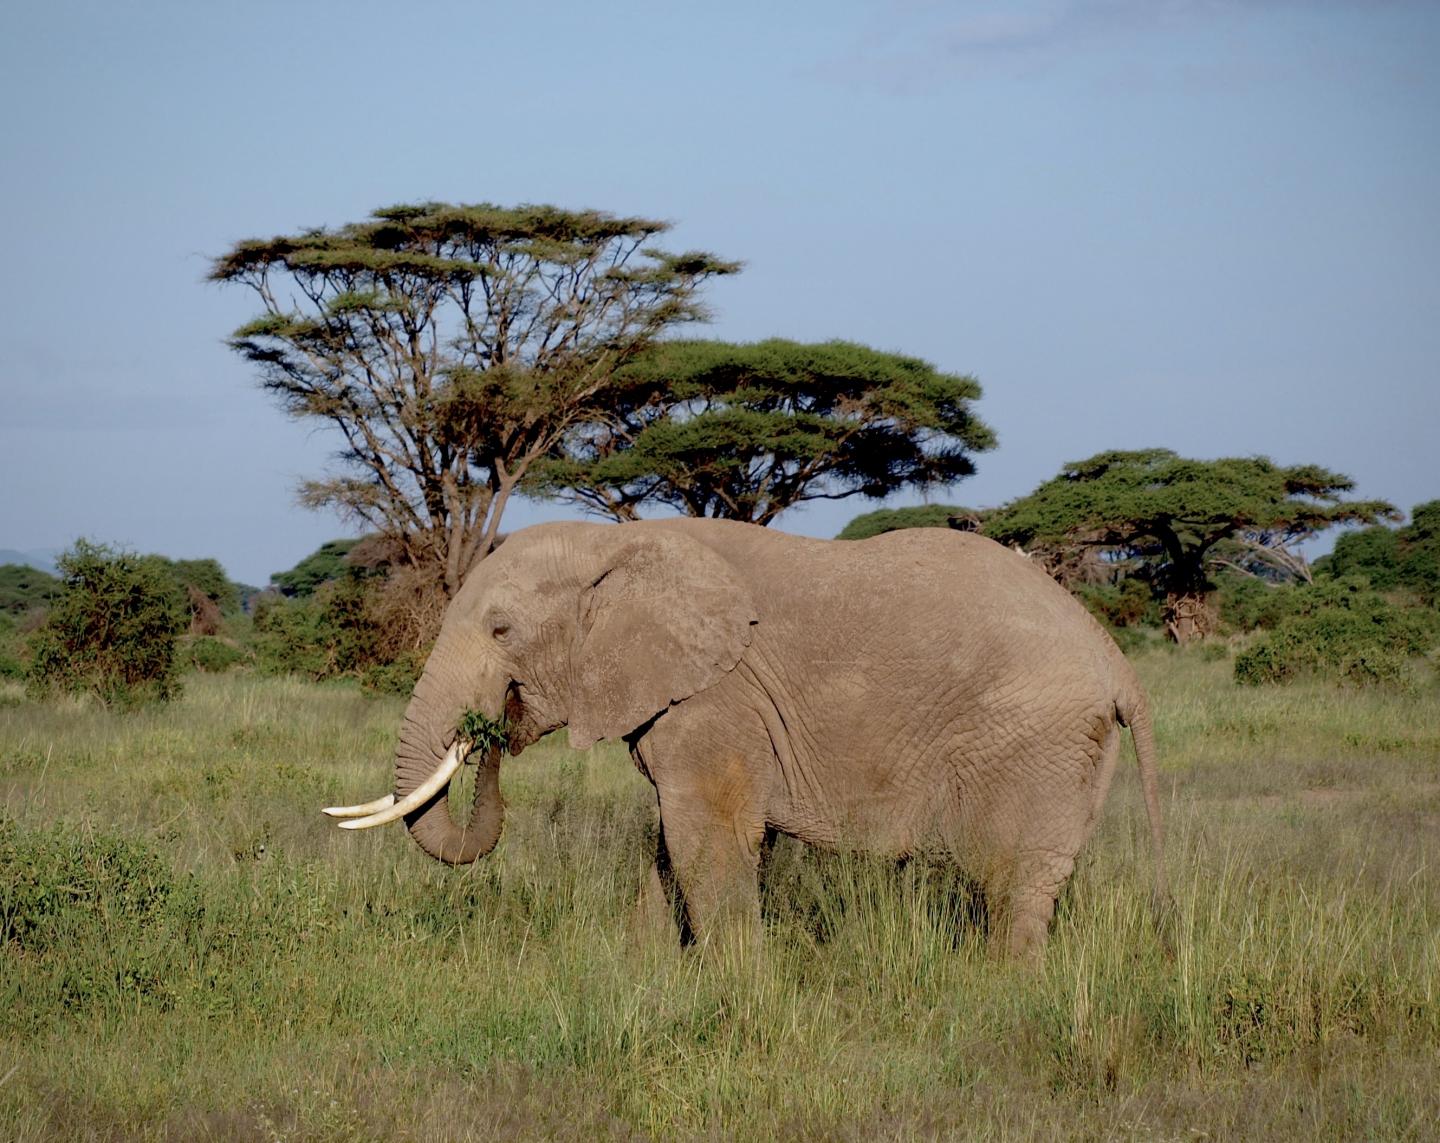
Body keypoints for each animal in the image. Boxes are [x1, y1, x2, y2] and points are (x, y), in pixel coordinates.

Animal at [324, 518, 1167, 959]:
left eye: (502, 631)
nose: (487, 732)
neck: (616, 543)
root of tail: (1112, 654)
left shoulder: (718, 698)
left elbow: (709, 834)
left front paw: (737, 983)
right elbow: (672, 844)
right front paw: (642, 971)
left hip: (1036, 736)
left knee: (1011, 877)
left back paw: (999, 989)